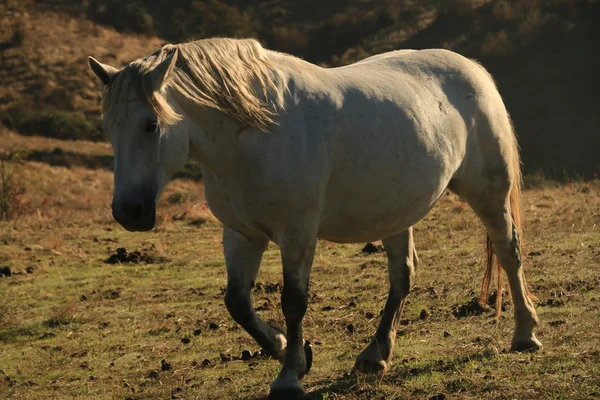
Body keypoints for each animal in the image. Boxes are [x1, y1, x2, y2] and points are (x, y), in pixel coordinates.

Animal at [89, 38, 544, 400]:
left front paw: (289, 375)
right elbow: (237, 302)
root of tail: (473, 70)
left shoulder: (297, 234)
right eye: (109, 128)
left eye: (151, 125)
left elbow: (293, 300)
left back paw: (526, 334)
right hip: (395, 212)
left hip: (488, 193)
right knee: (403, 276)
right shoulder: (241, 234)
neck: (253, 134)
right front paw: (287, 349)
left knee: (509, 252)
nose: (128, 212)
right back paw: (375, 355)